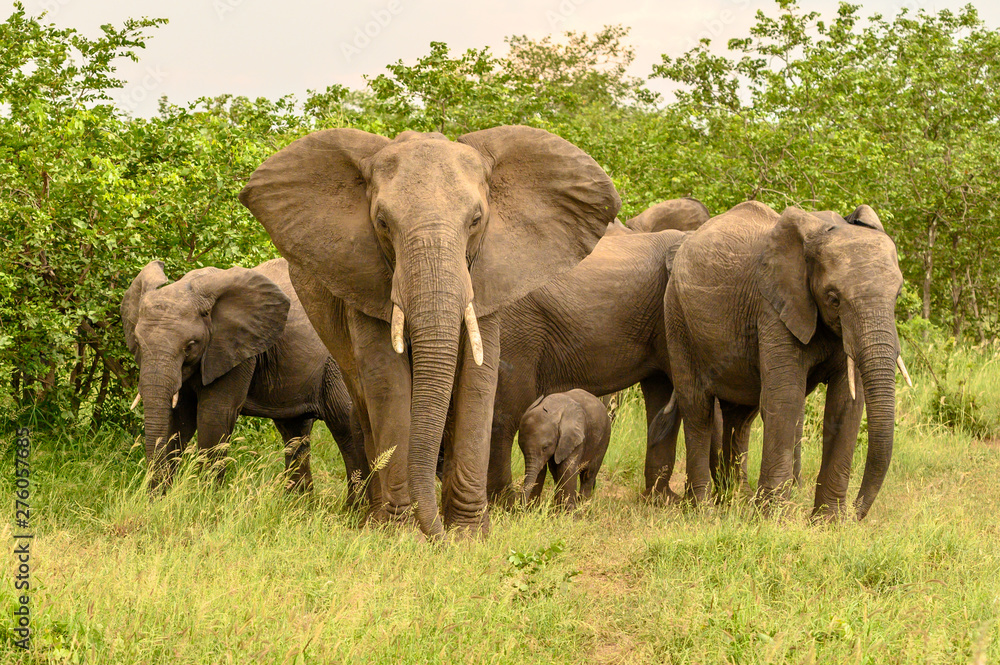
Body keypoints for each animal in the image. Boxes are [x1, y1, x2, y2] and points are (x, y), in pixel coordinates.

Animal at [122, 256, 368, 500]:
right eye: (138, 342)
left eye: (190, 345)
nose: (151, 496)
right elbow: (179, 419)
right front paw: (159, 501)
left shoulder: (235, 349)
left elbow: (214, 415)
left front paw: (205, 501)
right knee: (295, 433)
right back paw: (297, 504)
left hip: (339, 366)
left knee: (345, 427)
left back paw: (355, 507)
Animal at [239, 126, 620, 540]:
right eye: (382, 222)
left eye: (476, 220)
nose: (436, 534)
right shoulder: (366, 276)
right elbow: (387, 380)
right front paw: (402, 533)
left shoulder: (488, 274)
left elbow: (477, 378)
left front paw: (467, 535)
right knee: (361, 398)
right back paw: (374, 517)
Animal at [664, 202, 916, 520]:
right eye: (833, 298)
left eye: (897, 295)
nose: (855, 514)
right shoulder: (774, 307)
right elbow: (785, 398)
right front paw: (772, 518)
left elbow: (846, 406)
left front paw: (828, 522)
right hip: (676, 317)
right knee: (697, 407)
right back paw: (704, 510)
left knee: (740, 416)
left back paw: (736, 500)